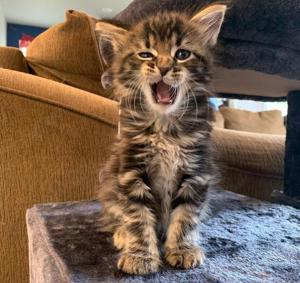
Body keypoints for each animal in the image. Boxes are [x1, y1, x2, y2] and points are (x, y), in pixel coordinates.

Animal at [95, 3, 226, 276]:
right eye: (146, 55)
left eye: (182, 54)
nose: (164, 67)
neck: (165, 129)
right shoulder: (130, 172)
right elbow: (137, 217)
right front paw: (140, 255)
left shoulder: (196, 172)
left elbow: (186, 217)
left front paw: (183, 249)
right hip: (110, 186)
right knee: (116, 216)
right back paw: (122, 234)